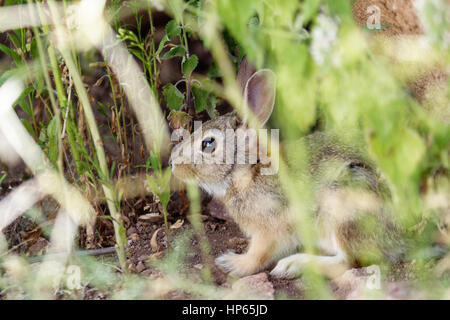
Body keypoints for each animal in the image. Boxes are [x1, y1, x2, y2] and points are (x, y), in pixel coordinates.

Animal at [170, 57, 408, 278]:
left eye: (208, 143)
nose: (173, 163)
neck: (249, 171)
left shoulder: (269, 230)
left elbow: (259, 254)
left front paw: (234, 264)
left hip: (344, 210)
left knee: (348, 261)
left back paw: (292, 265)